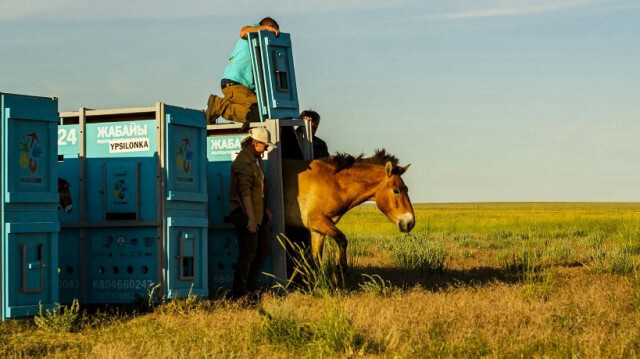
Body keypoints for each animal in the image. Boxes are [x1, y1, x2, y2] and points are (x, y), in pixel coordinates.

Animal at [284, 150, 416, 272]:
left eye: (406, 189)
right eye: (396, 190)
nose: (410, 223)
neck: (332, 183)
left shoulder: (317, 230)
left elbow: (316, 261)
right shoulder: (317, 220)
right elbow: (342, 240)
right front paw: (339, 272)